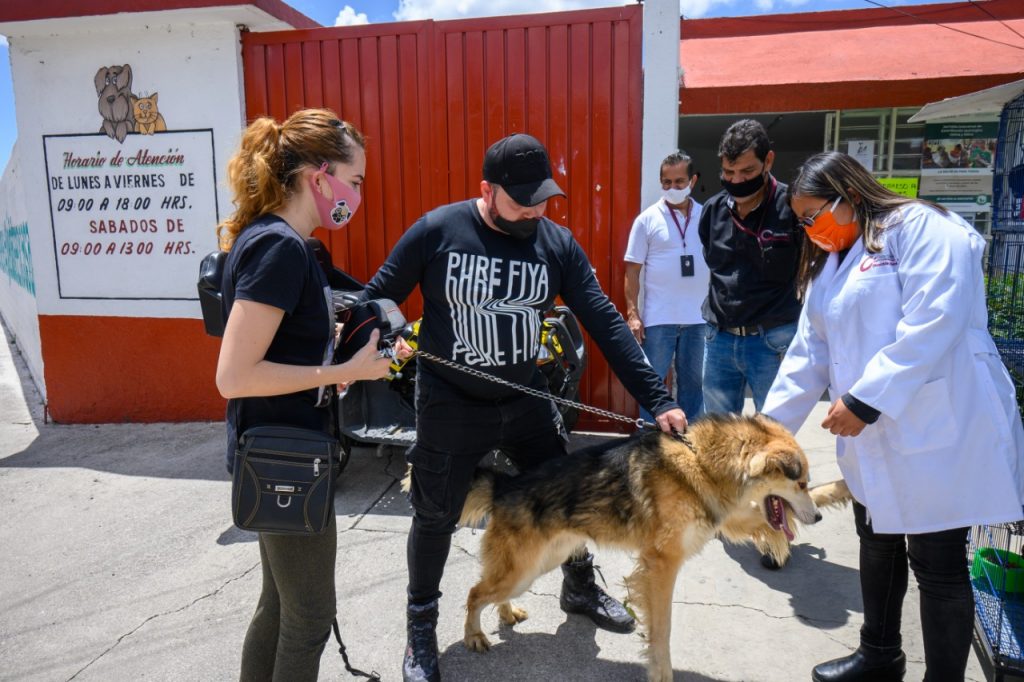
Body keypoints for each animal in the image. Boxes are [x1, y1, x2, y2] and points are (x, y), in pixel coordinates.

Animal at [456, 411, 823, 675]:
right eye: (801, 483)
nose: (819, 517)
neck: (702, 461)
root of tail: (504, 487)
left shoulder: (721, 514)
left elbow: (754, 521)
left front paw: (776, 541)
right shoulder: (662, 566)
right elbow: (663, 630)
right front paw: (661, 673)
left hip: (538, 564)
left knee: (489, 590)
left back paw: (506, 613)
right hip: (524, 570)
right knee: (474, 593)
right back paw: (474, 636)